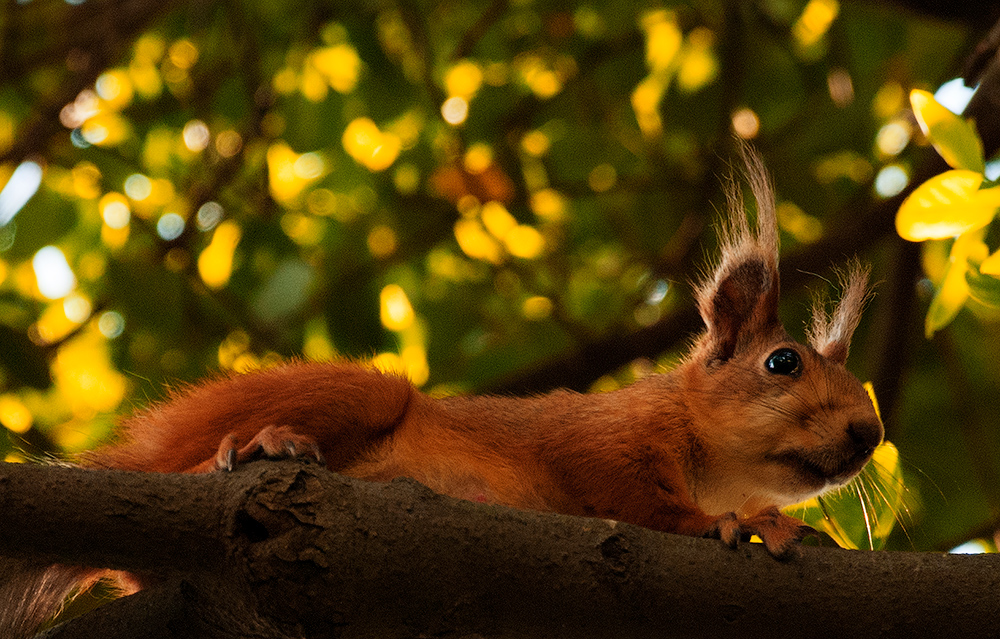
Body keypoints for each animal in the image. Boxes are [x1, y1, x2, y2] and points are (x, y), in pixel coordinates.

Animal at [1, 148, 884, 636]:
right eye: (782, 363)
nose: (869, 435)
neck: (707, 454)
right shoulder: (598, 435)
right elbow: (635, 499)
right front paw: (736, 523)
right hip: (351, 394)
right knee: (180, 478)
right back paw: (259, 445)